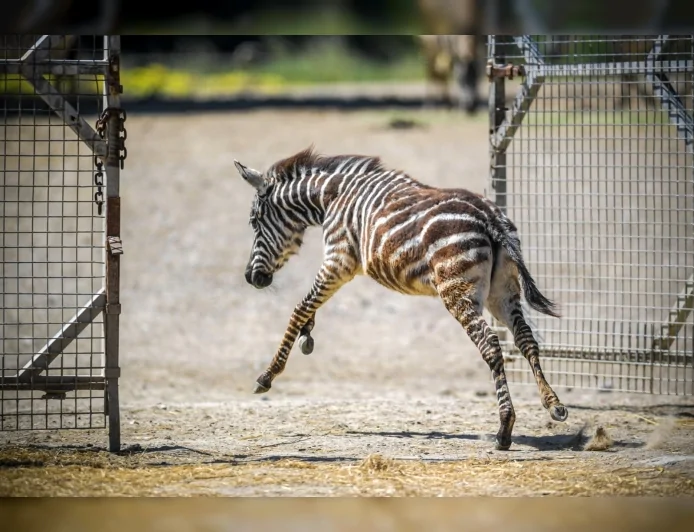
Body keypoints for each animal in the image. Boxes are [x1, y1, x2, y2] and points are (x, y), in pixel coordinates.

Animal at [233, 147, 568, 450]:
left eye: (254, 222)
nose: (251, 278)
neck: (331, 198)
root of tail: (491, 218)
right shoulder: (337, 265)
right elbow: (309, 306)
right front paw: (307, 335)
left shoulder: (338, 260)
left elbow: (300, 308)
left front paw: (268, 375)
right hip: (502, 292)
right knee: (526, 340)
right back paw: (553, 404)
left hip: (457, 290)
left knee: (491, 346)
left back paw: (504, 429)